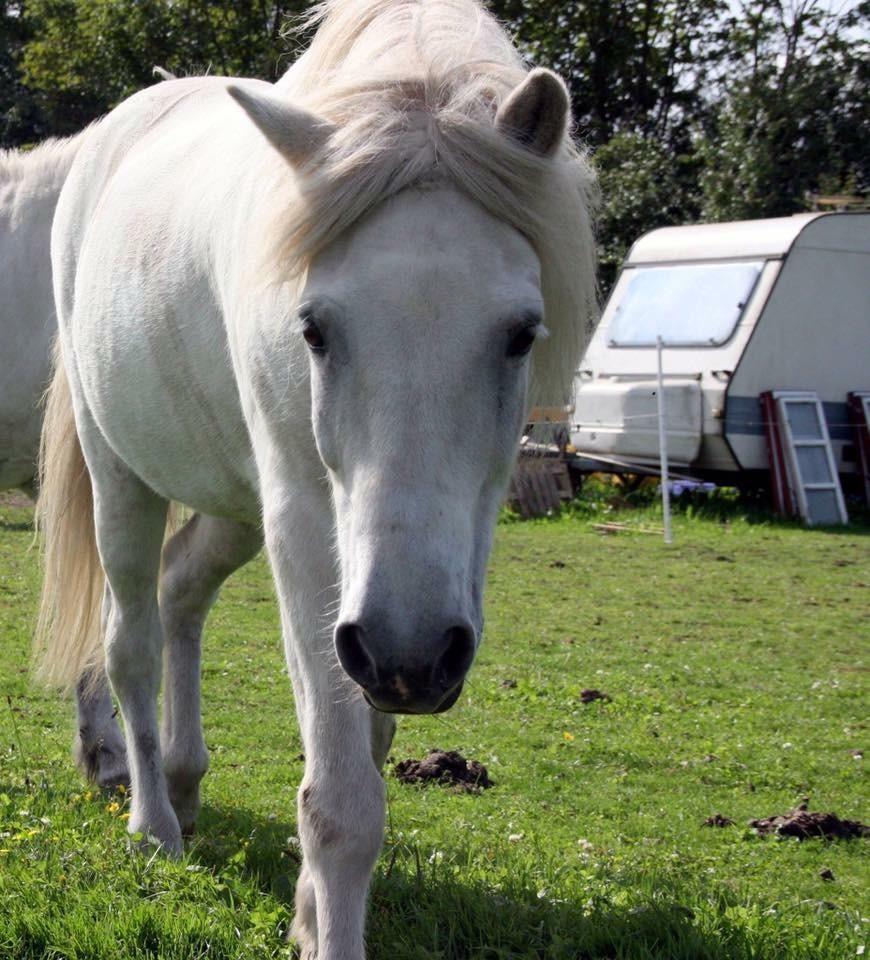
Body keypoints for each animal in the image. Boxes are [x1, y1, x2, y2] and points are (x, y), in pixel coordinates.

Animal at [39, 3, 600, 956]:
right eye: (314, 329)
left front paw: (307, 912)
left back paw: (184, 783)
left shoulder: (442, 559)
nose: (411, 656)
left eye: (523, 333)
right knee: (131, 642)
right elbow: (341, 799)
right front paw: (325, 927)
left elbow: (366, 736)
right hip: (125, 480)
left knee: (182, 592)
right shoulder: (308, 526)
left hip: (237, 505)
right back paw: (153, 824)